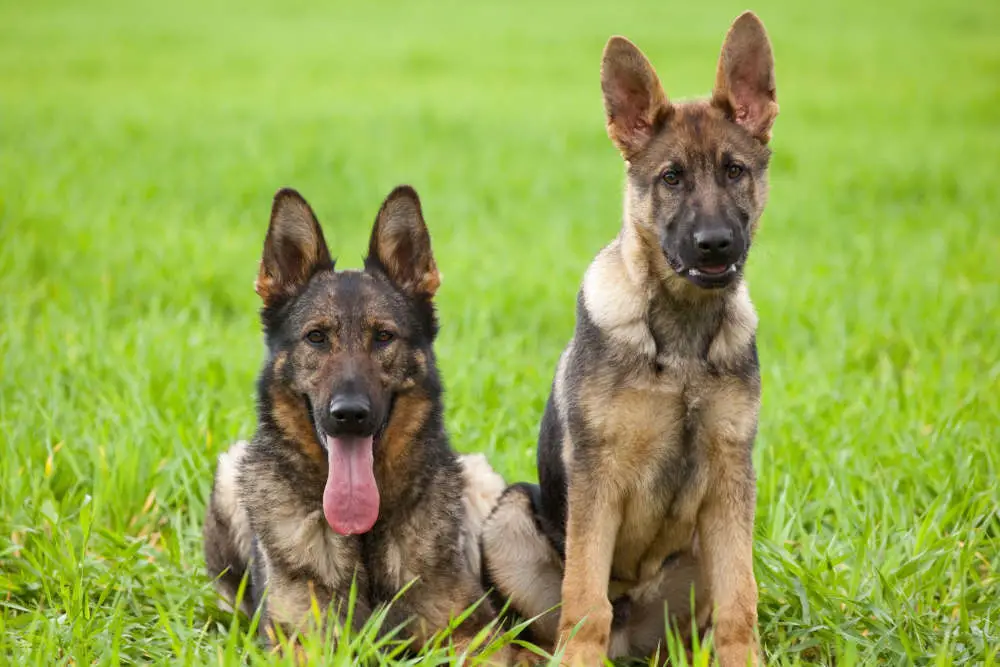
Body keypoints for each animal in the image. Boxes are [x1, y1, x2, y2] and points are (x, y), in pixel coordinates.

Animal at [206, 185, 512, 656]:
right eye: (316, 337)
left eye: (383, 337)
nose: (349, 415)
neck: (363, 538)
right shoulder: (299, 642)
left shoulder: (476, 635)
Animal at [480, 11, 776, 667]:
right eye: (671, 178)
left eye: (734, 171)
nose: (715, 245)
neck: (682, 337)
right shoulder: (598, 481)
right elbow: (586, 599)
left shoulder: (730, 480)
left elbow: (740, 601)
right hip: (510, 519)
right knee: (551, 625)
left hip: (697, 548)